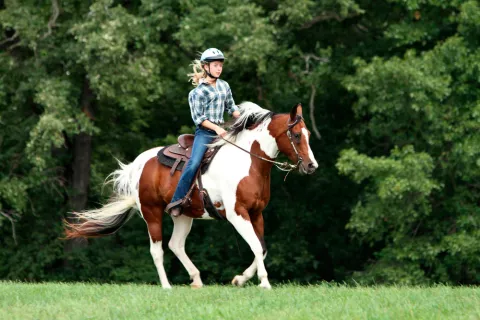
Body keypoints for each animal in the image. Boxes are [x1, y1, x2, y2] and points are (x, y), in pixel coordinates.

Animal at [64, 102, 318, 290]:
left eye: (307, 134)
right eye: (296, 135)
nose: (311, 165)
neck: (248, 162)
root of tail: (137, 165)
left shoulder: (256, 213)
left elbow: (262, 248)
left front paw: (240, 279)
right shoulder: (237, 214)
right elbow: (255, 245)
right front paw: (264, 283)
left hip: (183, 215)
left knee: (176, 244)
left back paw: (196, 279)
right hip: (151, 212)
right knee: (157, 250)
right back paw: (166, 286)